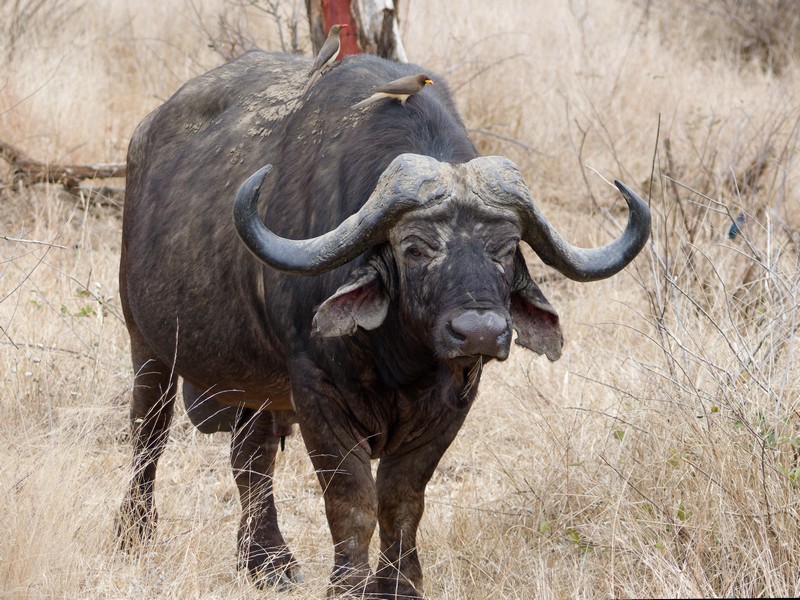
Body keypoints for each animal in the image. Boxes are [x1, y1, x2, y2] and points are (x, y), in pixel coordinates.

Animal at [117, 49, 648, 596]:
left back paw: (267, 562)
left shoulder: (452, 404)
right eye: (414, 248)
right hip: (148, 347)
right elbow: (352, 501)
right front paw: (347, 585)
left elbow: (400, 498)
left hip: (253, 382)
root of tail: (145, 136)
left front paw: (398, 583)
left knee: (251, 456)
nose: (479, 331)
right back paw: (135, 535)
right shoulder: (316, 393)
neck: (399, 361)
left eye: (504, 249)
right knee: (148, 439)